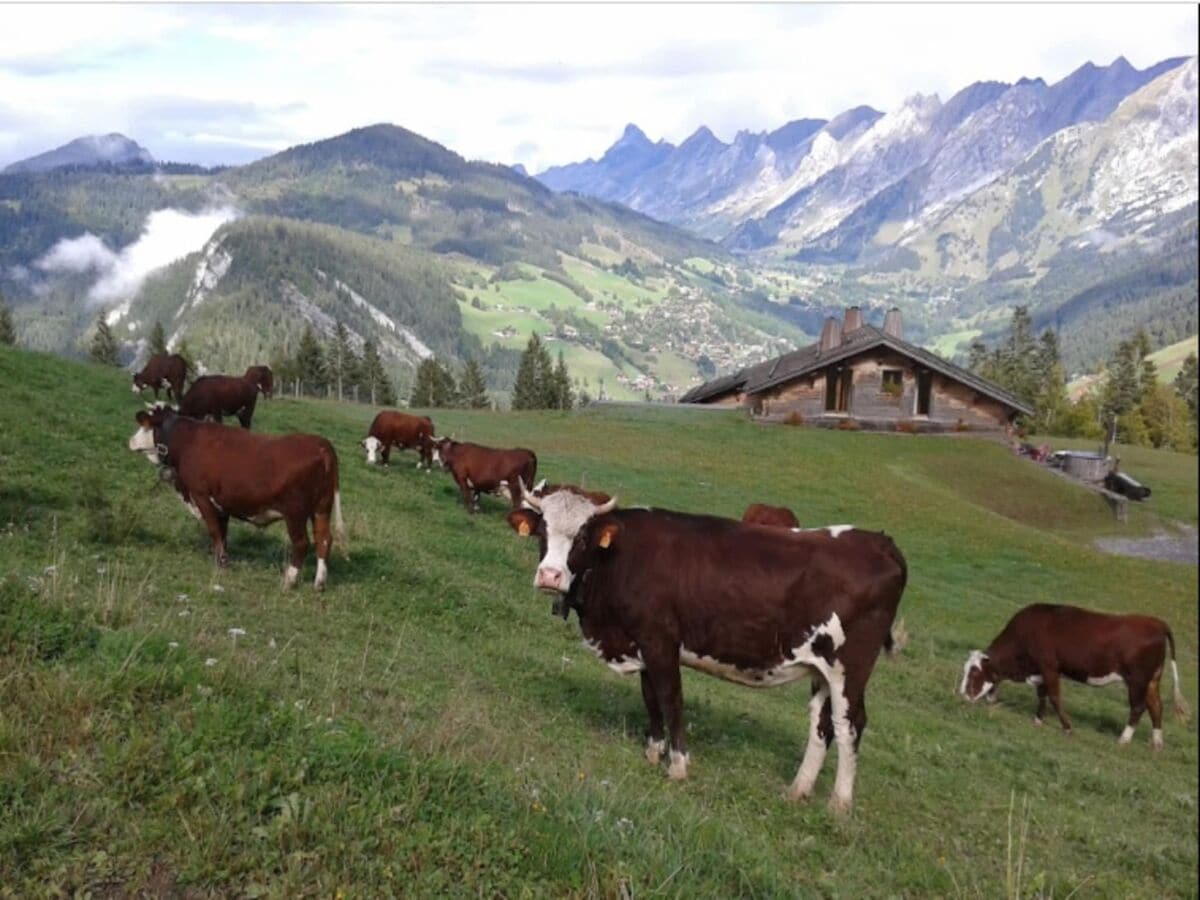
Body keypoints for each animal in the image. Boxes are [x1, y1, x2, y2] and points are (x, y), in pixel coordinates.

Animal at [129, 408, 345, 592]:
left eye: (144, 425)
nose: (130, 441)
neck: (188, 441)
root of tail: (321, 444)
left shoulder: (201, 496)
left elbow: (214, 530)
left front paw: (222, 562)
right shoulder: (221, 503)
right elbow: (223, 533)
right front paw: (220, 558)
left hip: (295, 512)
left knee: (301, 543)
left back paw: (289, 580)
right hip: (321, 508)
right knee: (324, 539)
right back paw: (319, 583)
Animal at [508, 482, 907, 816]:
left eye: (581, 537)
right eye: (543, 531)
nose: (550, 576)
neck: (620, 559)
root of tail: (880, 542)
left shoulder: (660, 642)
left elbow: (671, 700)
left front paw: (678, 765)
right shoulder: (643, 644)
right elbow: (650, 698)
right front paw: (653, 751)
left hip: (849, 668)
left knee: (849, 724)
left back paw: (839, 804)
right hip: (822, 669)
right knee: (821, 723)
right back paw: (798, 790)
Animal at [955, 609, 1190, 748]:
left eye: (974, 672)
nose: (962, 695)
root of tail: (1156, 622)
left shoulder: (1049, 668)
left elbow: (1054, 697)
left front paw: (1067, 727)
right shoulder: (1040, 671)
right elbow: (1042, 695)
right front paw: (1038, 719)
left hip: (1137, 680)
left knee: (1138, 707)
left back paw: (1123, 739)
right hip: (1152, 680)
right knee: (1156, 706)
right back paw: (1157, 744)